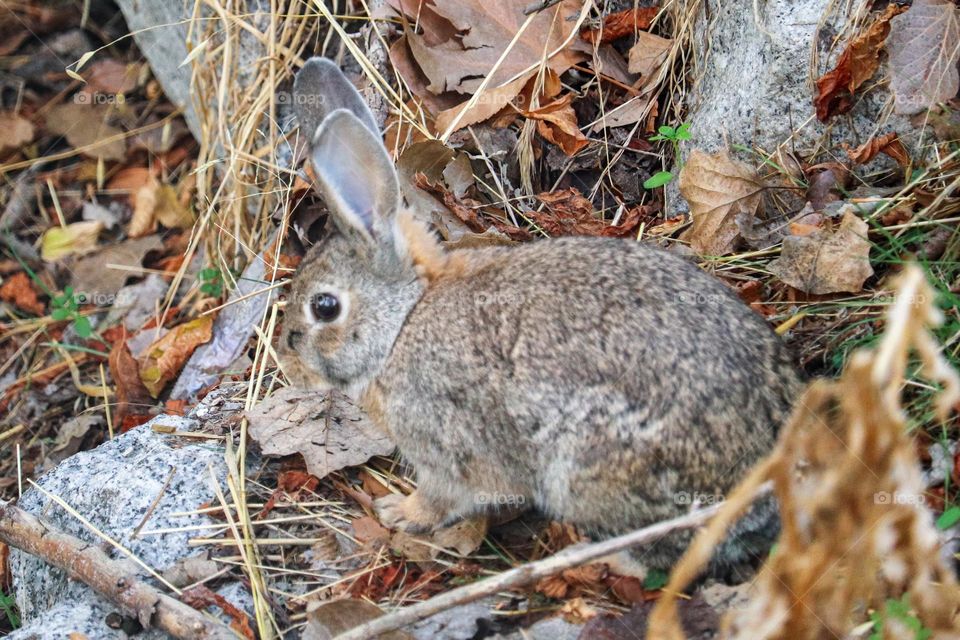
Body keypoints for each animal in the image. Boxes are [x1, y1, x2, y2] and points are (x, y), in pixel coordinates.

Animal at [278, 58, 804, 580]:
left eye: (325, 307)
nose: (289, 362)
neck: (403, 321)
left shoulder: (446, 448)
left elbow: (441, 497)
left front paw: (400, 513)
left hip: (592, 467)